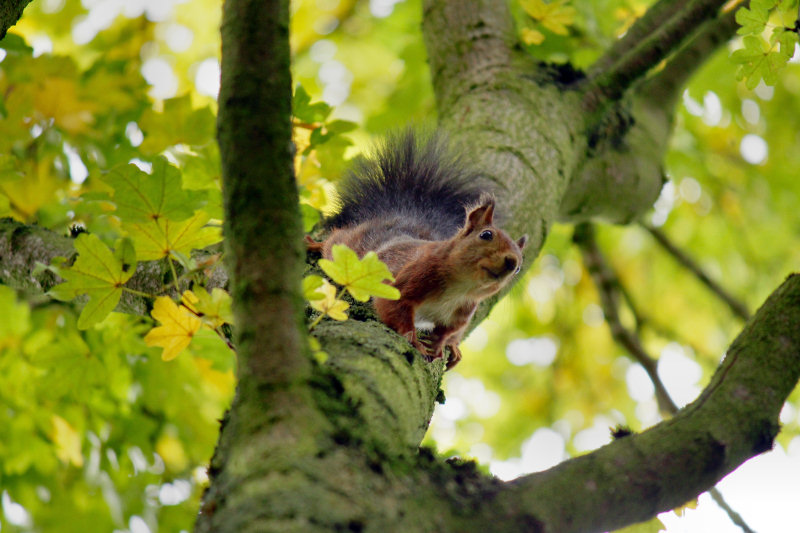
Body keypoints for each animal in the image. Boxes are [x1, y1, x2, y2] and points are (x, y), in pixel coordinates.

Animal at [310, 131, 528, 368]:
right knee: (336, 239)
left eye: (520, 267)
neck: (461, 287)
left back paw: (454, 347)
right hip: (351, 248)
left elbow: (448, 331)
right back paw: (313, 243)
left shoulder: (463, 312)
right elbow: (394, 307)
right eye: (486, 235)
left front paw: (440, 345)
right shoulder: (414, 277)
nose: (512, 263)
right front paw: (414, 341)